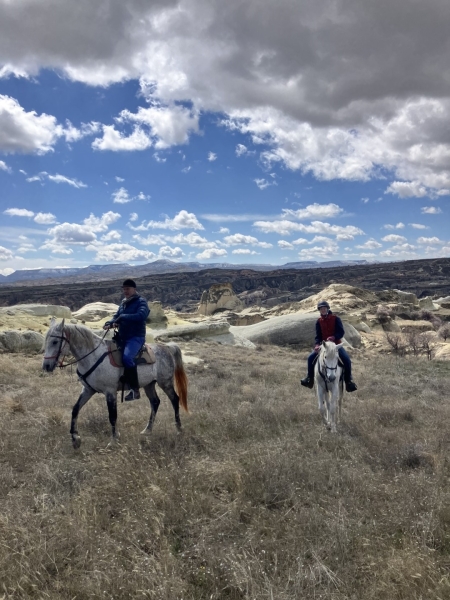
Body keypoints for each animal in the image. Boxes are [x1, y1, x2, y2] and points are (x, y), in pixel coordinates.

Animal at [42, 322, 188, 448]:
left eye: (55, 342)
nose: (46, 366)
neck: (93, 356)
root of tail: (167, 347)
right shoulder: (88, 390)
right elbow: (75, 409)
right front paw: (75, 439)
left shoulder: (110, 392)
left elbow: (112, 416)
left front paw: (113, 441)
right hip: (149, 385)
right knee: (155, 402)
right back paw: (147, 430)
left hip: (165, 383)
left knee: (175, 399)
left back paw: (179, 429)